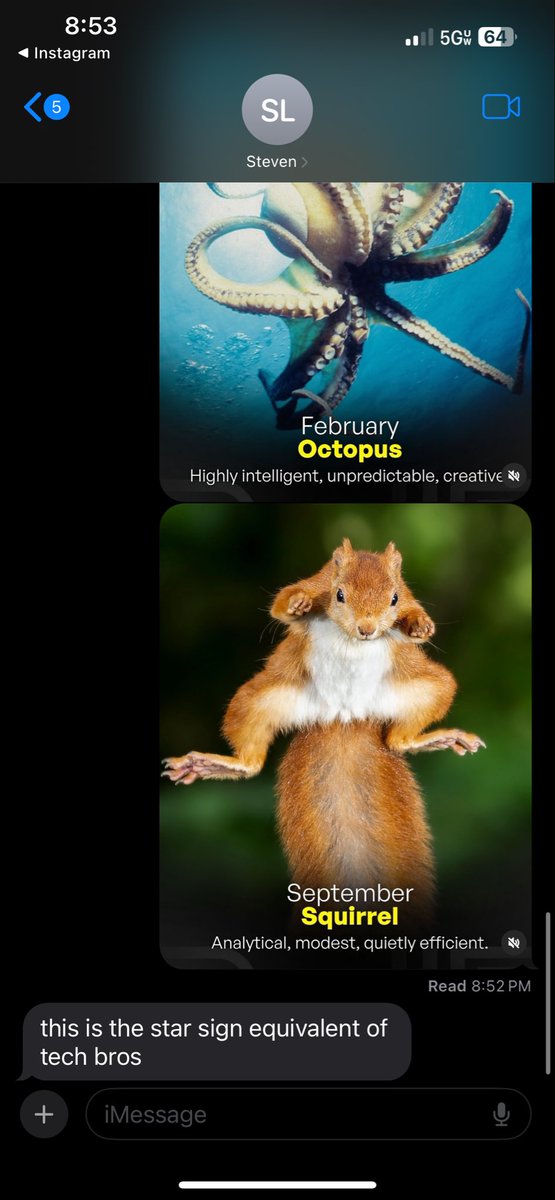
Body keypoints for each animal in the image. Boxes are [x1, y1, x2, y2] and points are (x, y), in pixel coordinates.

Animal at [163, 539, 485, 921]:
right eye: (339, 594)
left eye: (393, 598)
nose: (367, 629)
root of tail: (343, 717)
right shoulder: (314, 582)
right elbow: (281, 604)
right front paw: (297, 604)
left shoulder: (409, 600)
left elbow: (415, 614)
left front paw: (420, 625)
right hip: (257, 700)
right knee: (251, 758)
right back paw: (216, 763)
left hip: (431, 687)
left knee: (399, 740)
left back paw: (434, 738)